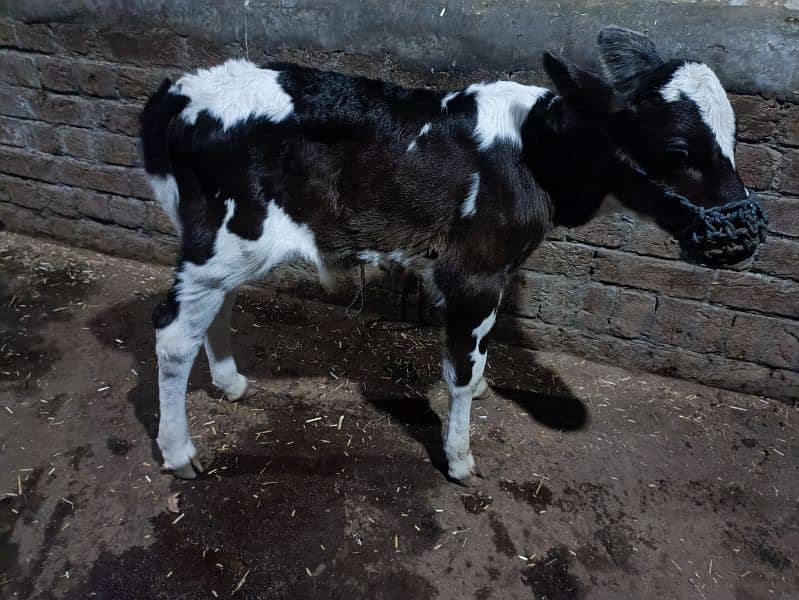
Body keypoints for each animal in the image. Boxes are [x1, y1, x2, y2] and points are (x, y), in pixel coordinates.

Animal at [141, 27, 764, 482]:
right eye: (679, 150)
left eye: (733, 138)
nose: (745, 232)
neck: (536, 149)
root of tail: (187, 88)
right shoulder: (475, 272)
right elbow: (461, 370)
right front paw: (460, 457)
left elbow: (477, 359)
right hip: (227, 236)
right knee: (172, 334)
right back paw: (179, 452)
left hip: (221, 249)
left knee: (212, 311)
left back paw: (230, 383)